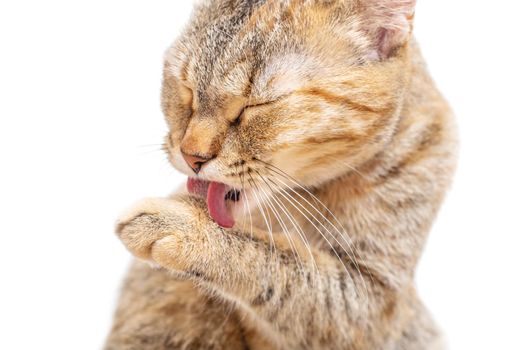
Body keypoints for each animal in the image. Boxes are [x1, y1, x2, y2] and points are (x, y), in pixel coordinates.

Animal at [105, 1, 454, 348]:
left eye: (257, 105)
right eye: (186, 88)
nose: (192, 156)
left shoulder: (370, 302)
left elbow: (276, 261)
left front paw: (185, 226)